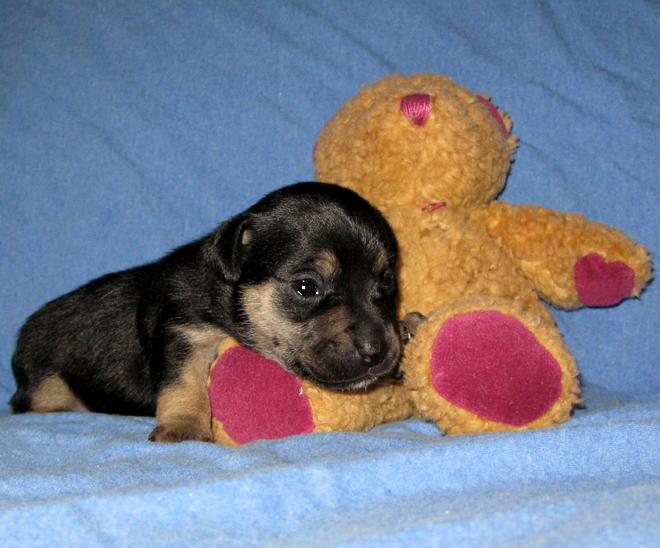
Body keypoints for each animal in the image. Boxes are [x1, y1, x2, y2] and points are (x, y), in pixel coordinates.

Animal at [10, 182, 402, 444]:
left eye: (386, 282)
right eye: (306, 287)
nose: (377, 351)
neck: (229, 296)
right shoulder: (183, 332)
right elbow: (185, 384)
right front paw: (184, 427)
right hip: (46, 382)